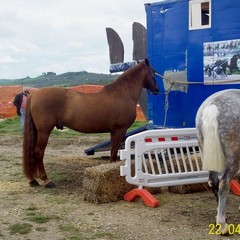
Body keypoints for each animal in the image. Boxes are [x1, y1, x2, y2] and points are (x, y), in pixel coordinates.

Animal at [22, 58, 159, 188]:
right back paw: (46, 180)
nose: (157, 89)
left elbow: (112, 152)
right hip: (44, 131)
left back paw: (33, 180)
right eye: (152, 71)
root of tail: (34, 94)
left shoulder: (113, 131)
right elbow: (114, 151)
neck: (123, 93)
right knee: (38, 152)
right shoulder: (119, 130)